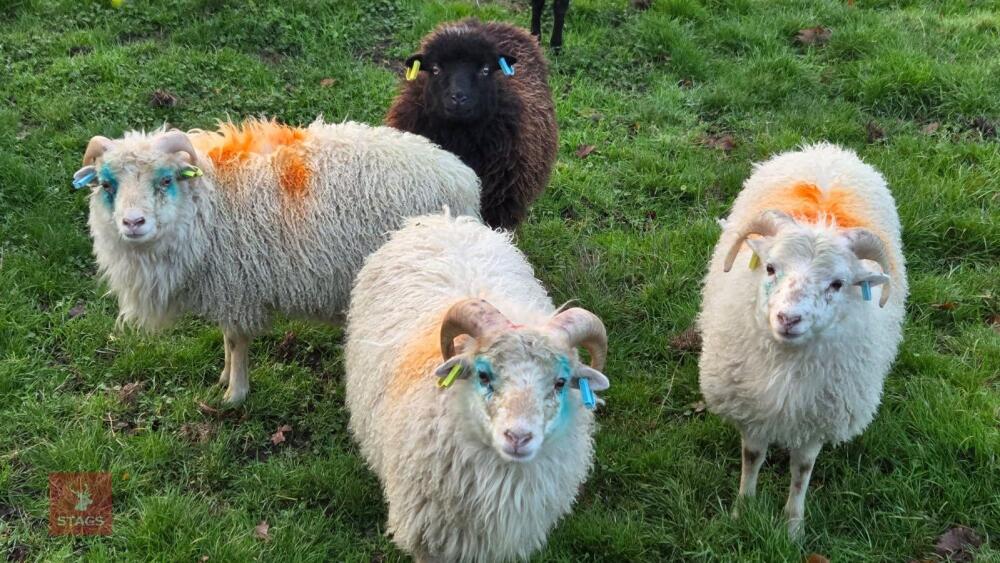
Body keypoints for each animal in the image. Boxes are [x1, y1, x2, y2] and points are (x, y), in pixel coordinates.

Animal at [72, 118, 480, 406]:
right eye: (107, 184)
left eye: (165, 180)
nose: (133, 223)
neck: (209, 204)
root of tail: (461, 176)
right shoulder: (230, 289)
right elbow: (227, 339)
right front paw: (224, 377)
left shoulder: (238, 287)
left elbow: (236, 341)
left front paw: (234, 394)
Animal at [697, 143, 908, 537]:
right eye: (770, 268)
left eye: (837, 284)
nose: (788, 318)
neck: (787, 363)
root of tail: (826, 149)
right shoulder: (752, 407)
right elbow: (752, 457)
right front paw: (742, 510)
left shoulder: (818, 418)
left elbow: (802, 471)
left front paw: (793, 526)